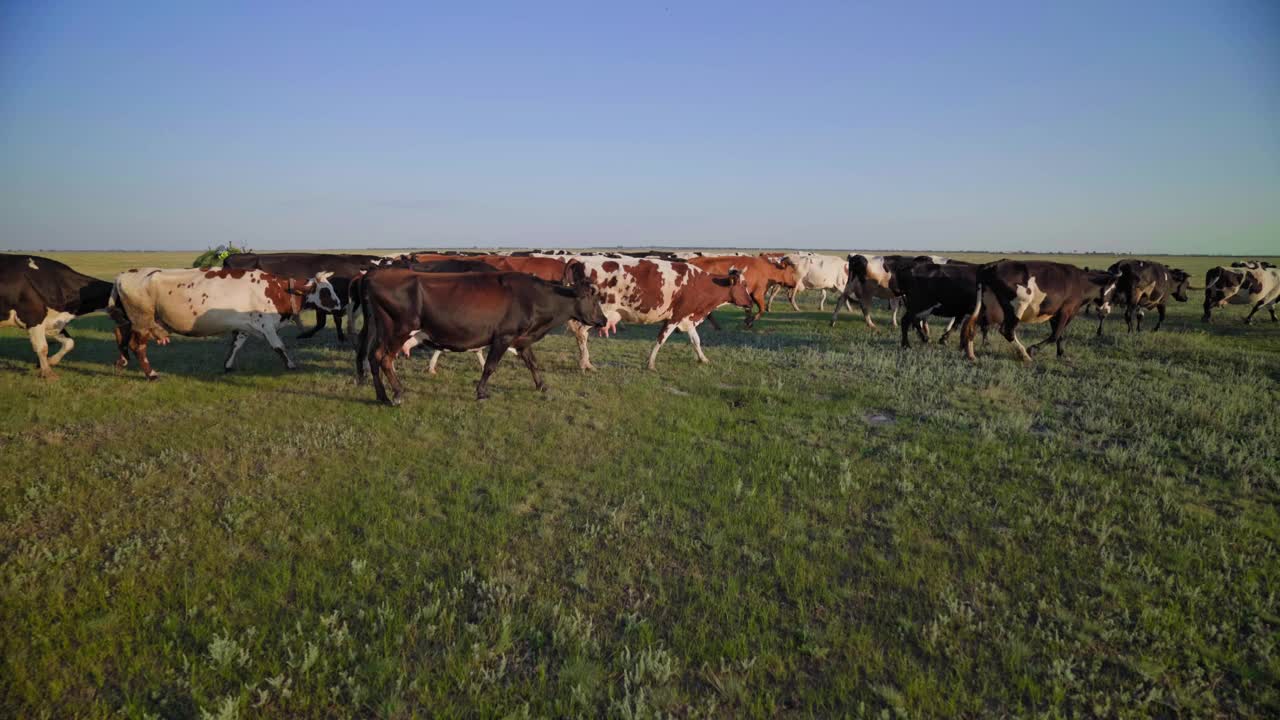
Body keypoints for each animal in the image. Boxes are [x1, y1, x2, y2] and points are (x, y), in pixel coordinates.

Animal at [112, 263, 340, 376]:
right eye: (325, 291)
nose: (340, 305)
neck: (278, 289)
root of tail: (123, 275)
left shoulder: (245, 326)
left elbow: (236, 346)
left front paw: (228, 365)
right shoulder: (266, 325)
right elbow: (279, 347)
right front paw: (291, 365)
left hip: (129, 320)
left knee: (121, 337)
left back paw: (122, 362)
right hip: (143, 321)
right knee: (137, 346)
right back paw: (150, 373)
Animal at [353, 267, 606, 404]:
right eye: (593, 299)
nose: (603, 321)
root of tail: (374, 274)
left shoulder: (522, 339)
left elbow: (532, 363)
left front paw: (542, 386)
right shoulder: (504, 336)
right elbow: (490, 366)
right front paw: (481, 392)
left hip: (380, 329)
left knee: (373, 357)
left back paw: (382, 396)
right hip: (400, 329)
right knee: (384, 358)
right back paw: (397, 394)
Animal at [957, 258, 1116, 363]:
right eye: (1113, 290)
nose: (1107, 311)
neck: (1081, 282)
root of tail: (991, 265)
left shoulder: (1054, 312)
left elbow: (1060, 335)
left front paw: (1061, 354)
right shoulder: (1067, 310)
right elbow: (1055, 335)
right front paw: (1033, 349)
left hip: (988, 306)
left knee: (972, 325)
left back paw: (971, 355)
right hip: (1018, 305)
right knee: (1007, 331)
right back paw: (1025, 355)